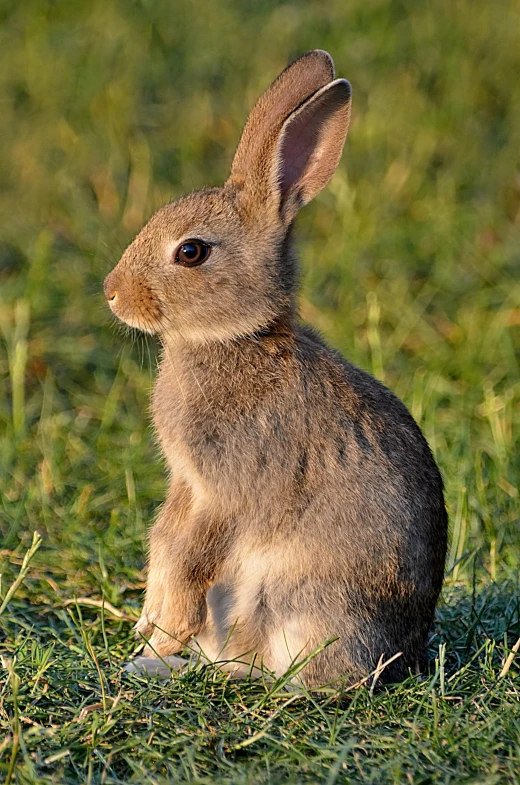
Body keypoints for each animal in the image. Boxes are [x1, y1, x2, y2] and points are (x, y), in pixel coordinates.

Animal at [104, 50, 446, 688]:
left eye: (191, 252)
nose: (113, 294)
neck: (236, 338)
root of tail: (397, 659)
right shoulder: (186, 485)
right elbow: (164, 539)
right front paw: (148, 622)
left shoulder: (225, 490)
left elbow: (191, 556)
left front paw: (161, 625)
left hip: (295, 603)